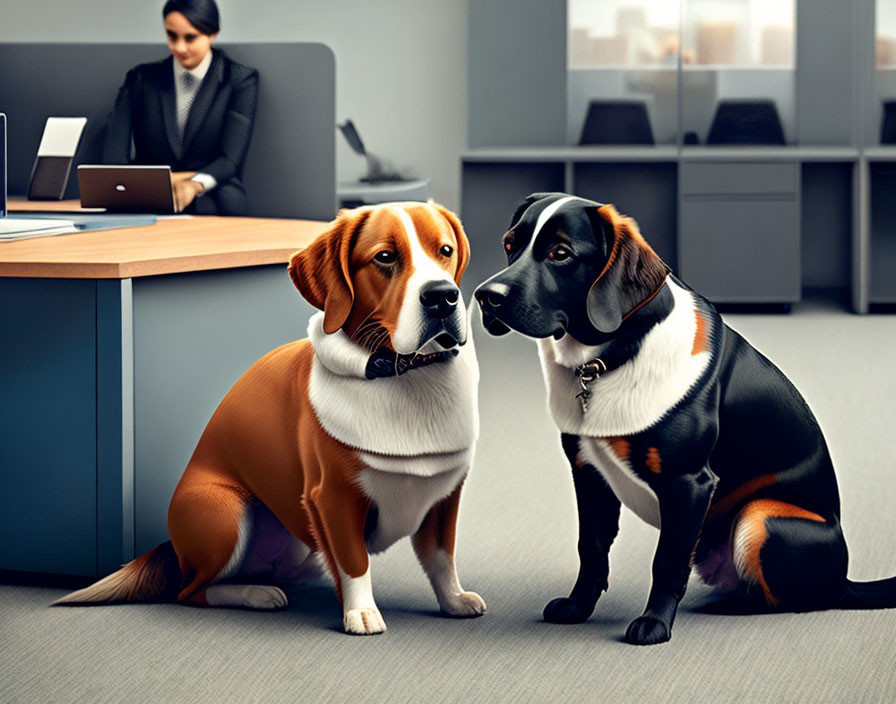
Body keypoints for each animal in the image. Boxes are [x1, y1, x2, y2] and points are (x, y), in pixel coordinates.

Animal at [57, 201, 486, 636]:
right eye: (385, 257)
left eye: (445, 251)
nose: (442, 297)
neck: (404, 375)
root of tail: (172, 548)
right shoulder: (331, 497)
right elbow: (354, 560)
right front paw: (361, 612)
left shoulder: (446, 496)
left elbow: (441, 557)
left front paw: (453, 600)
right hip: (224, 510)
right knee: (191, 590)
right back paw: (256, 594)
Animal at [472, 191, 892, 644]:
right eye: (510, 245)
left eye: (560, 253)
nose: (485, 296)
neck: (611, 355)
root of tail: (845, 580)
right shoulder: (589, 473)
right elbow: (592, 548)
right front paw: (578, 606)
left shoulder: (689, 483)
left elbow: (668, 561)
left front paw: (654, 623)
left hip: (760, 516)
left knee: (793, 597)